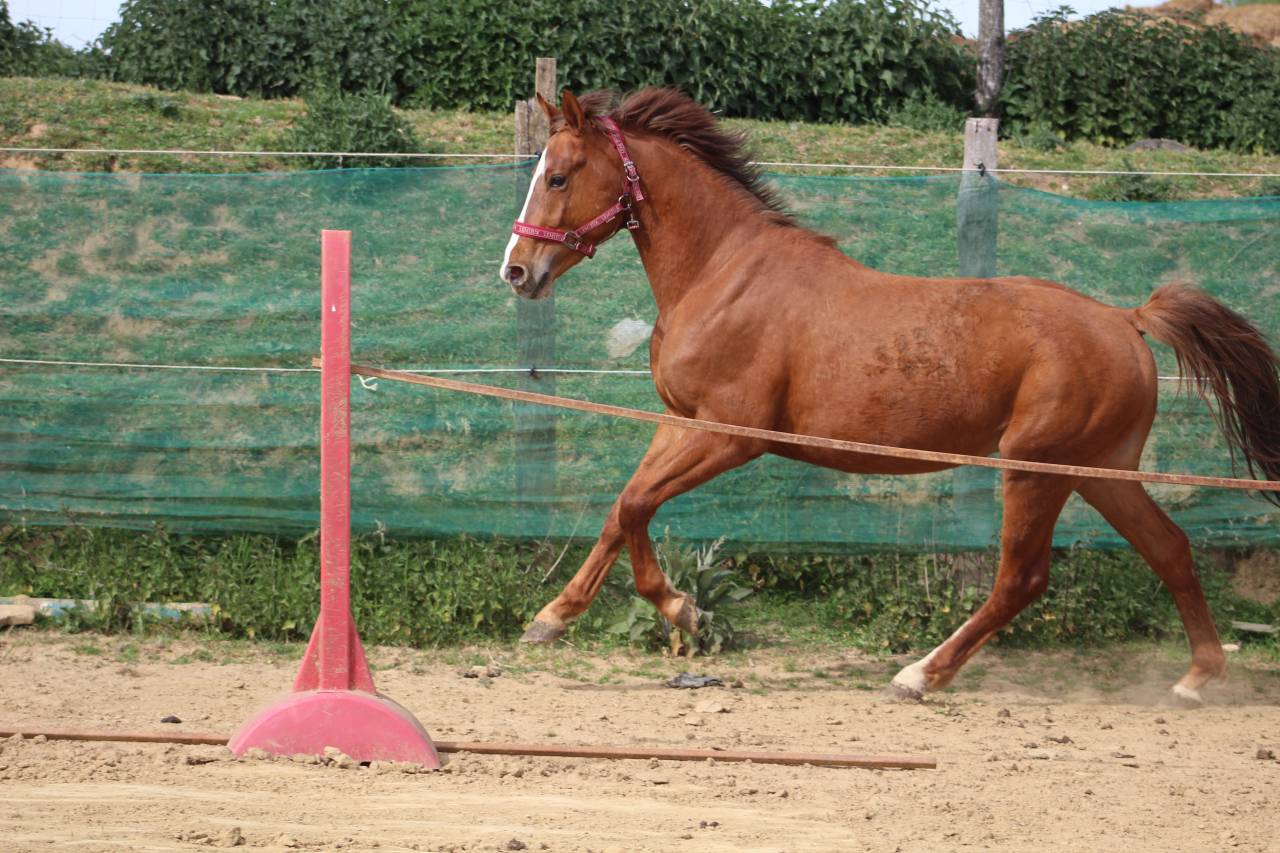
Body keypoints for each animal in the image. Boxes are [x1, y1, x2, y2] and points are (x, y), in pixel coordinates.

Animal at [499, 87, 1280, 704]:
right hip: (1099, 468)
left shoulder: (733, 434)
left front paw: (685, 611)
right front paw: (551, 617)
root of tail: (1126, 318)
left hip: (1036, 469)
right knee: (1170, 549)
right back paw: (1195, 679)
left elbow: (636, 506)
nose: (516, 271)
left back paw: (920, 676)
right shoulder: (678, 421)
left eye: (559, 176)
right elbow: (618, 510)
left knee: (1022, 579)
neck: (722, 274)